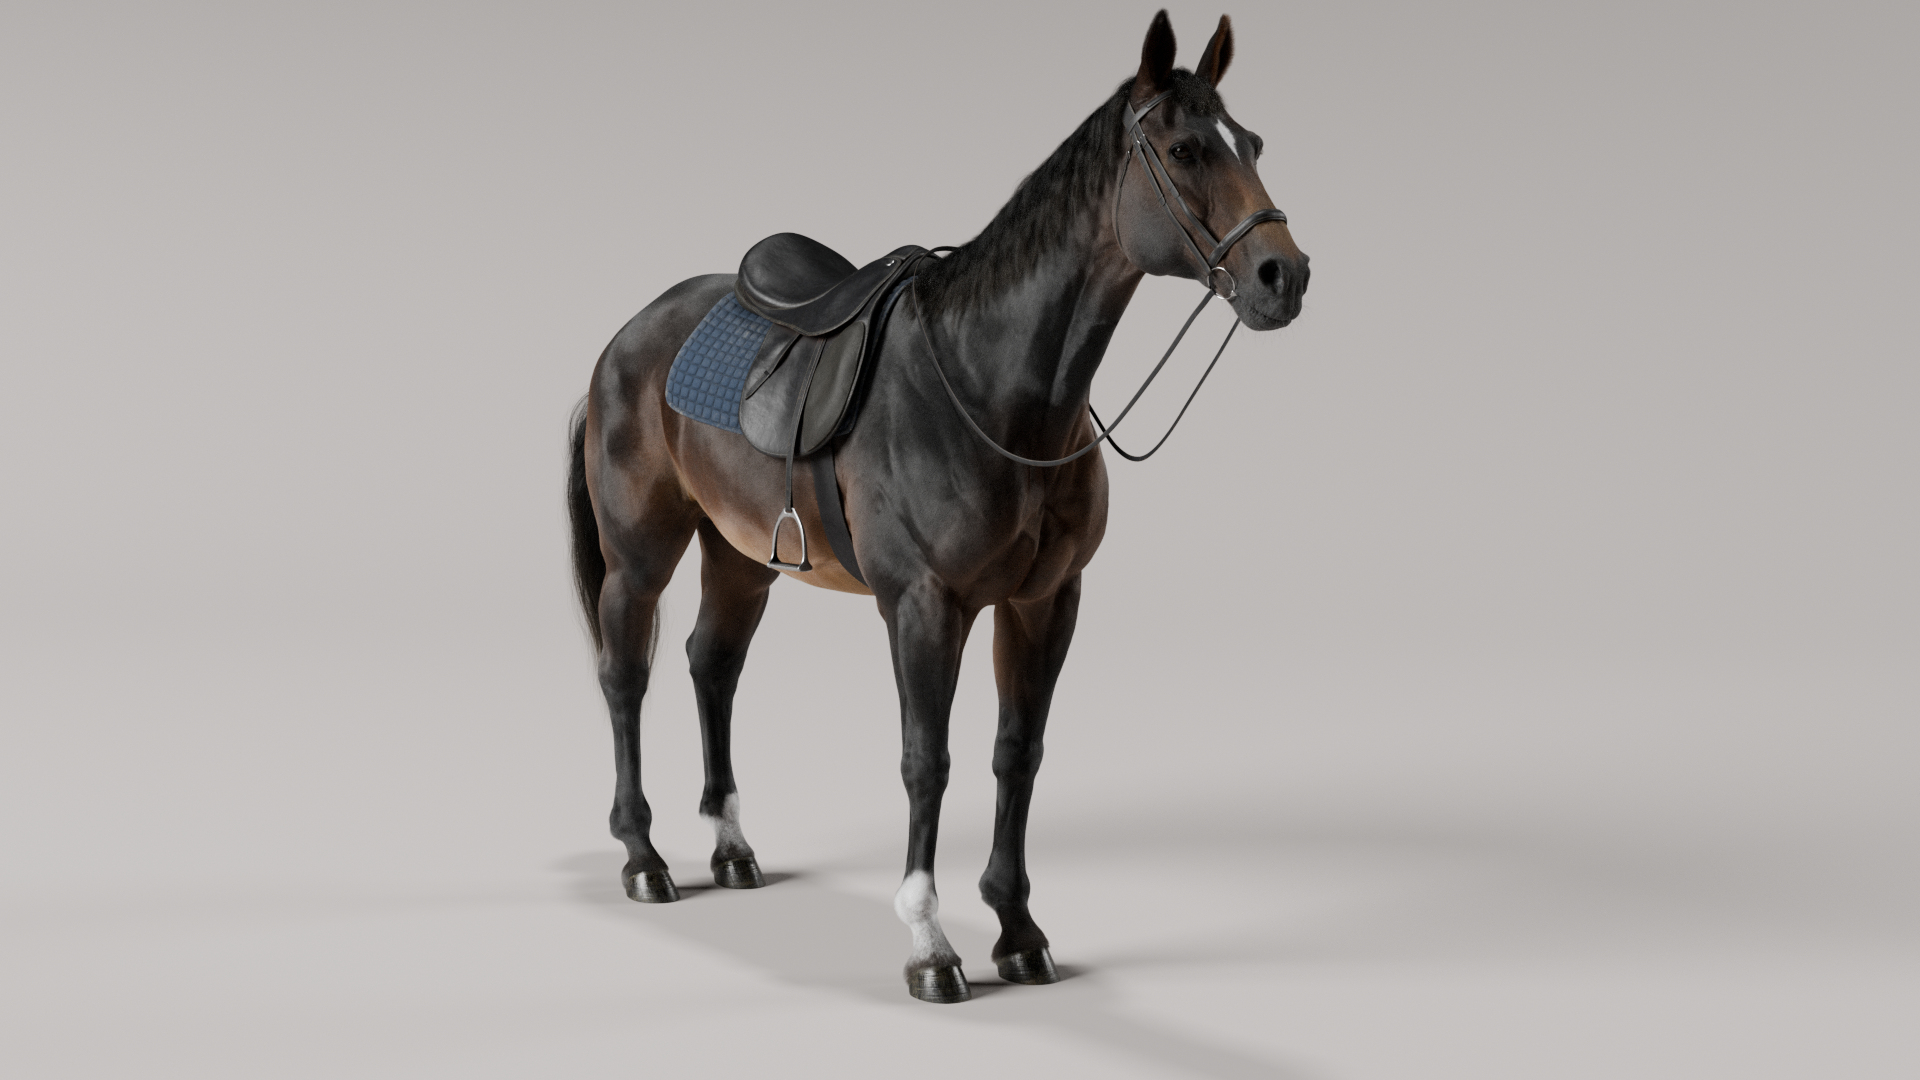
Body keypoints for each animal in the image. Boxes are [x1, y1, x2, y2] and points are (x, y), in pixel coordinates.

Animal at [567, 10, 1309, 1003]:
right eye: (1186, 149)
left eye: (1251, 144)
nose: (1284, 275)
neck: (993, 387)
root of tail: (625, 338)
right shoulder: (924, 605)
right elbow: (929, 760)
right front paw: (930, 943)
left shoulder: (1045, 602)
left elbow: (1016, 752)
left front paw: (1018, 929)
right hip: (641, 553)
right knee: (627, 674)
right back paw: (643, 857)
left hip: (740, 556)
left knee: (710, 665)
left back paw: (730, 847)